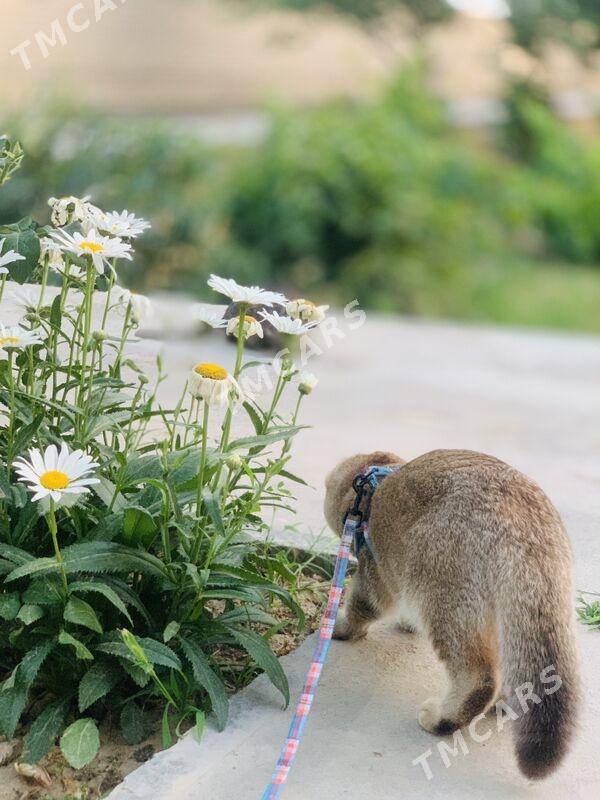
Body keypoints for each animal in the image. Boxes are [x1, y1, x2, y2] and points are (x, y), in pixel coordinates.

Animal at [324, 450, 580, 780]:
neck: (372, 485)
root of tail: (525, 521)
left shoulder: (376, 570)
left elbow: (362, 605)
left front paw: (338, 624)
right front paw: (406, 624)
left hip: (444, 595)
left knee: (480, 676)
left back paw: (444, 719)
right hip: (507, 613)